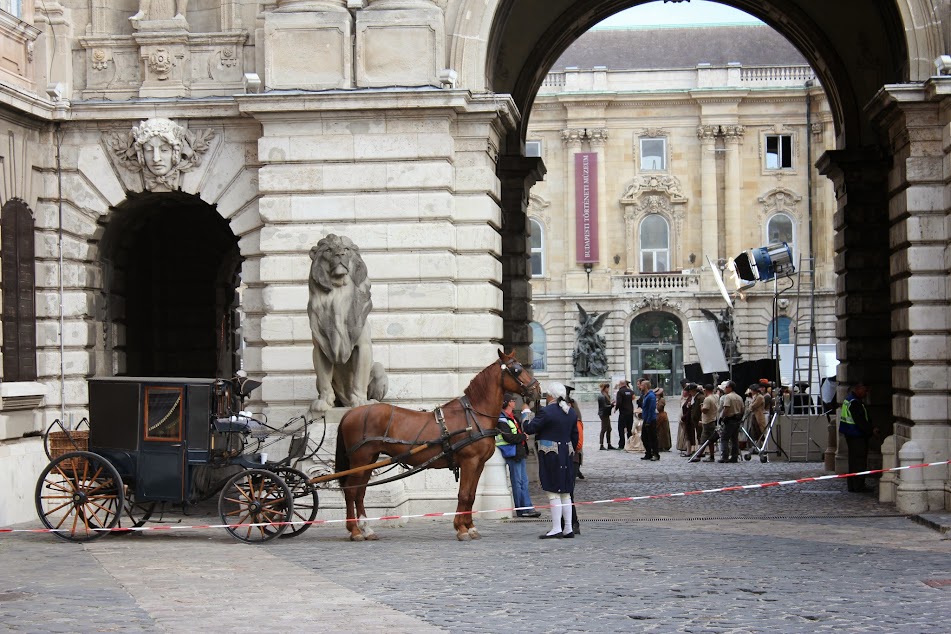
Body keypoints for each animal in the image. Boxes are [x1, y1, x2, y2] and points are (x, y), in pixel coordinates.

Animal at [336, 348, 540, 540]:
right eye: (516, 369)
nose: (537, 389)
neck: (474, 414)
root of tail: (350, 413)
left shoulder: (479, 464)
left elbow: (471, 495)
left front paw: (471, 527)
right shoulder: (469, 462)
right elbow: (464, 494)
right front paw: (461, 528)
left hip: (368, 460)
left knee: (360, 492)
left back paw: (366, 529)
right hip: (360, 460)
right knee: (351, 492)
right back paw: (355, 530)